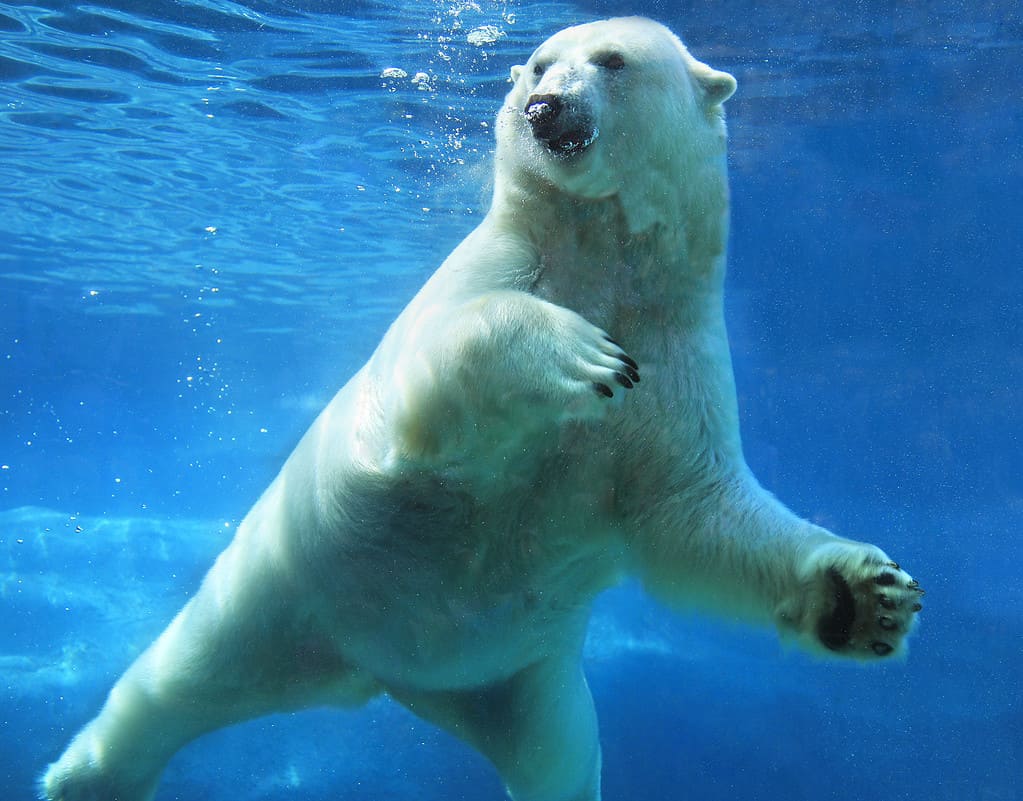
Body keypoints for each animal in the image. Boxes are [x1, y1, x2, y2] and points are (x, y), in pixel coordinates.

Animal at [41, 16, 923, 801]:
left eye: (610, 60)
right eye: (535, 64)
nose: (544, 108)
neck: (599, 253)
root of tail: (379, 674)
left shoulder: (680, 351)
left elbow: (694, 508)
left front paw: (866, 598)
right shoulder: (481, 279)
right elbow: (429, 382)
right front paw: (583, 354)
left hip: (518, 676)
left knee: (559, 758)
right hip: (282, 582)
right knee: (178, 676)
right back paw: (88, 775)